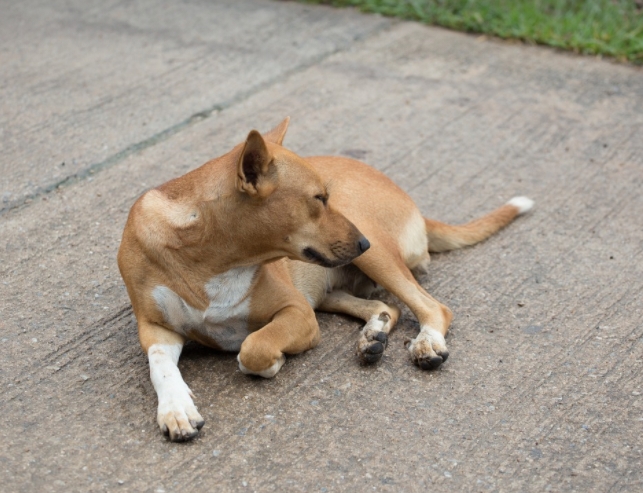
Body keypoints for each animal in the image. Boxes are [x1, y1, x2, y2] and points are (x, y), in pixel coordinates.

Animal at [117, 117, 532, 440]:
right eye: (318, 199)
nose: (362, 242)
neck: (210, 256)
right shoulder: (155, 328)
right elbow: (160, 366)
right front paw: (175, 409)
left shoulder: (296, 312)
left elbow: (253, 347)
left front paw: (269, 363)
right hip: (333, 284)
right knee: (386, 306)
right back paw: (373, 336)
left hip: (374, 254)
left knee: (433, 307)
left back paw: (426, 343)